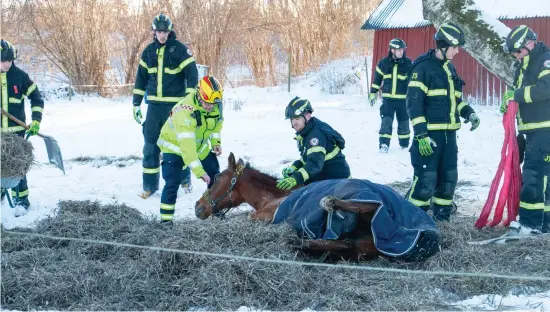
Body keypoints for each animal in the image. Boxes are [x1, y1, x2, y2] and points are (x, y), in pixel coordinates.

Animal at [196, 153, 442, 260]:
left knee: (368, 207)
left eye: (217, 178)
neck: (275, 197)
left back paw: (330, 203)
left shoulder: (266, 215)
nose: (198, 207)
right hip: (362, 242)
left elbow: (249, 217)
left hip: (363, 199)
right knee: (342, 244)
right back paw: (299, 241)